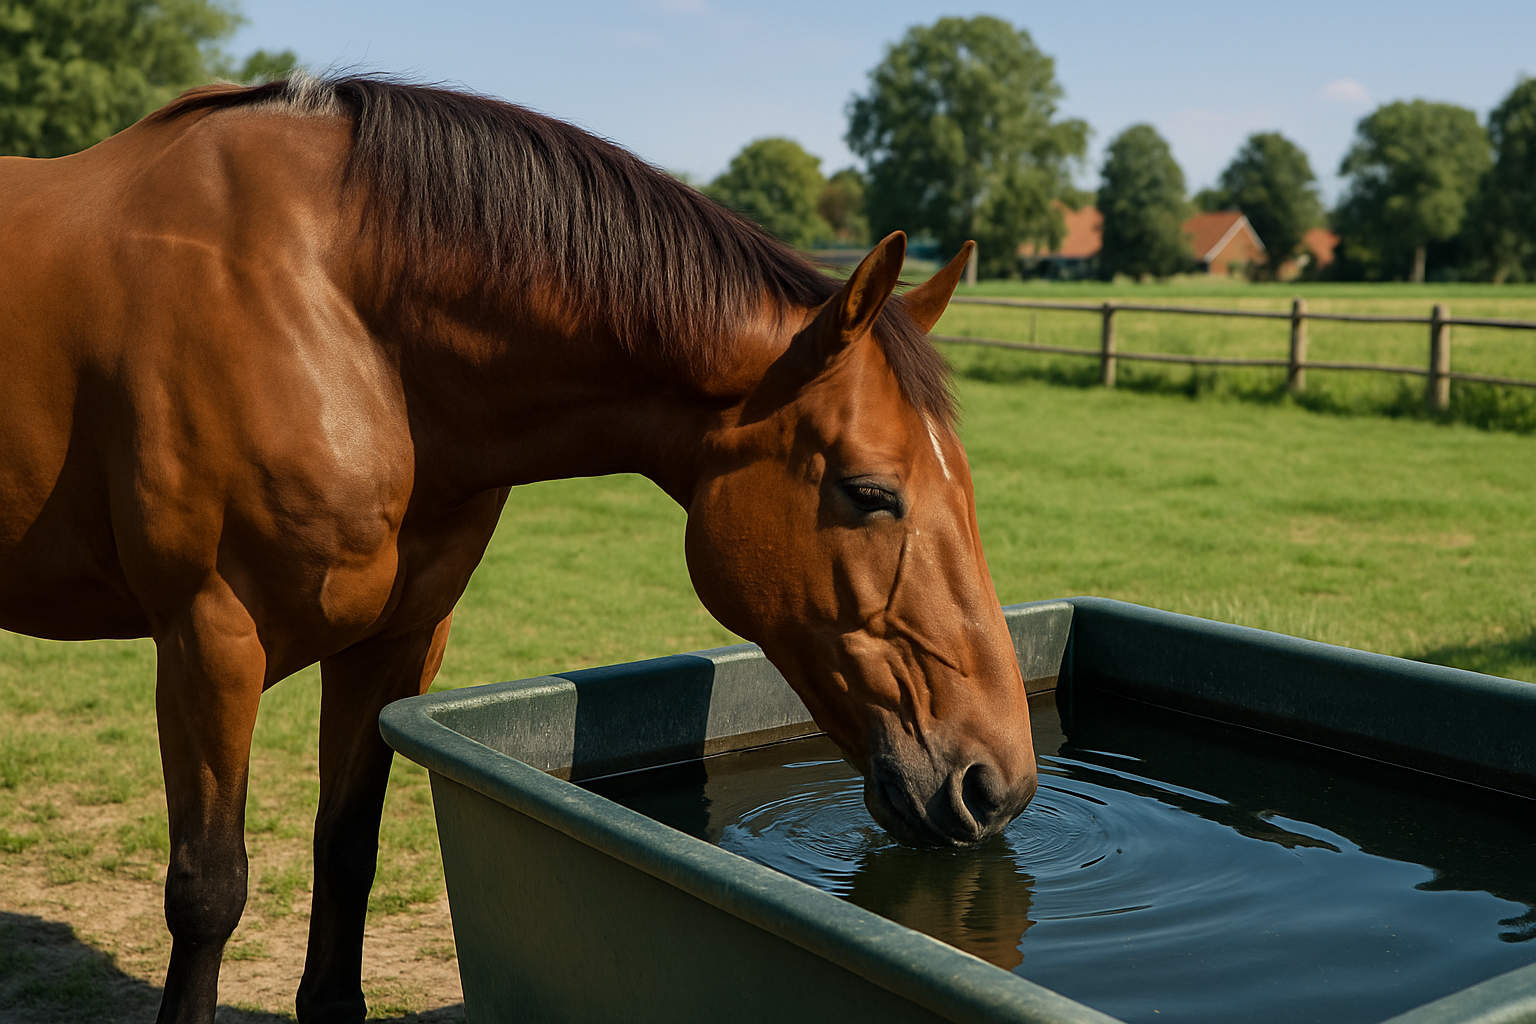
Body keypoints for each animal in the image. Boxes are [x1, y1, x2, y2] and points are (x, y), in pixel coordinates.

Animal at [0, 74, 1037, 1023]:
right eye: (869, 493)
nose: (999, 782)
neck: (336, 316)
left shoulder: (399, 641)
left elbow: (348, 849)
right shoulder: (210, 641)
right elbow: (208, 892)